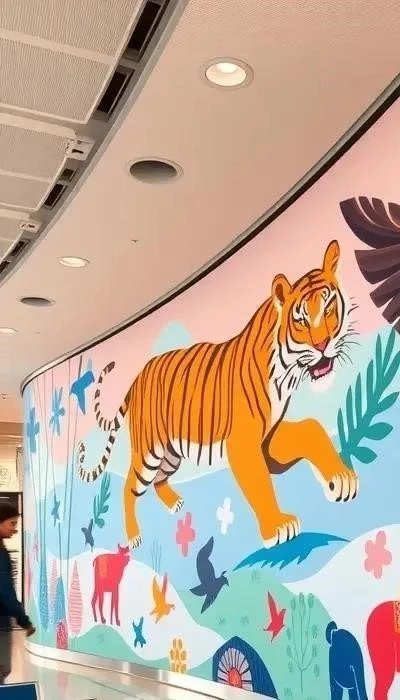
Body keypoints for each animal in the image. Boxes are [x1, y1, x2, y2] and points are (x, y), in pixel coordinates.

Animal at [78, 239, 359, 549]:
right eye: (301, 320)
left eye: (329, 307)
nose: (323, 345)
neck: (285, 373)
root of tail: (138, 378)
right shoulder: (244, 442)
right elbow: (259, 482)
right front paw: (278, 526)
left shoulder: (269, 437)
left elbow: (311, 427)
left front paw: (341, 479)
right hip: (148, 451)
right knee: (129, 488)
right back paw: (134, 536)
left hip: (172, 452)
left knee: (159, 480)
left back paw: (175, 503)